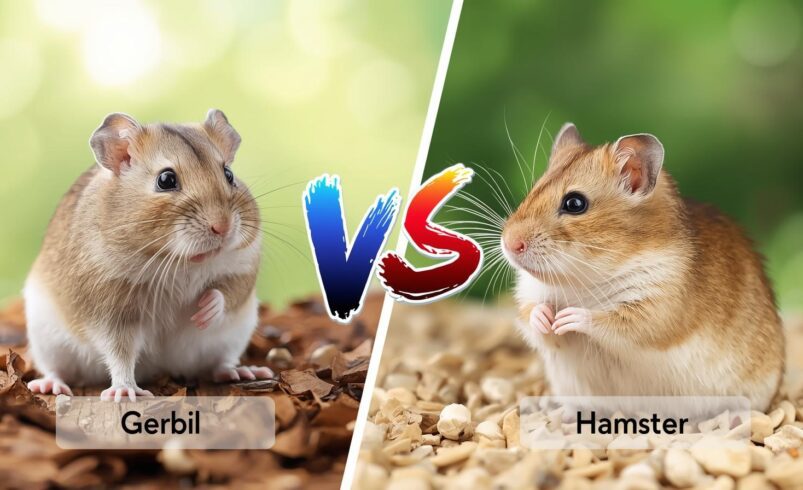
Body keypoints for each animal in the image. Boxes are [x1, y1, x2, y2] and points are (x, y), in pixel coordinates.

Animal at [24, 109, 272, 401]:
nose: (223, 228)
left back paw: (245, 372)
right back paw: (49, 386)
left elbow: (227, 293)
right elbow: (120, 354)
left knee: (218, 364)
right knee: (55, 369)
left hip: (234, 335)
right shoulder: (111, 313)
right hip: (47, 338)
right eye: (166, 180)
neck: (178, 260)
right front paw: (125, 392)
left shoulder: (242, 268)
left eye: (229, 173)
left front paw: (203, 311)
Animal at [502, 123, 784, 412]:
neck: (581, 278)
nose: (509, 243)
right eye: (534, 189)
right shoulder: (530, 299)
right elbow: (532, 320)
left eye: (575, 203)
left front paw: (568, 317)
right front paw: (545, 316)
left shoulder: (654, 311)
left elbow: (609, 321)